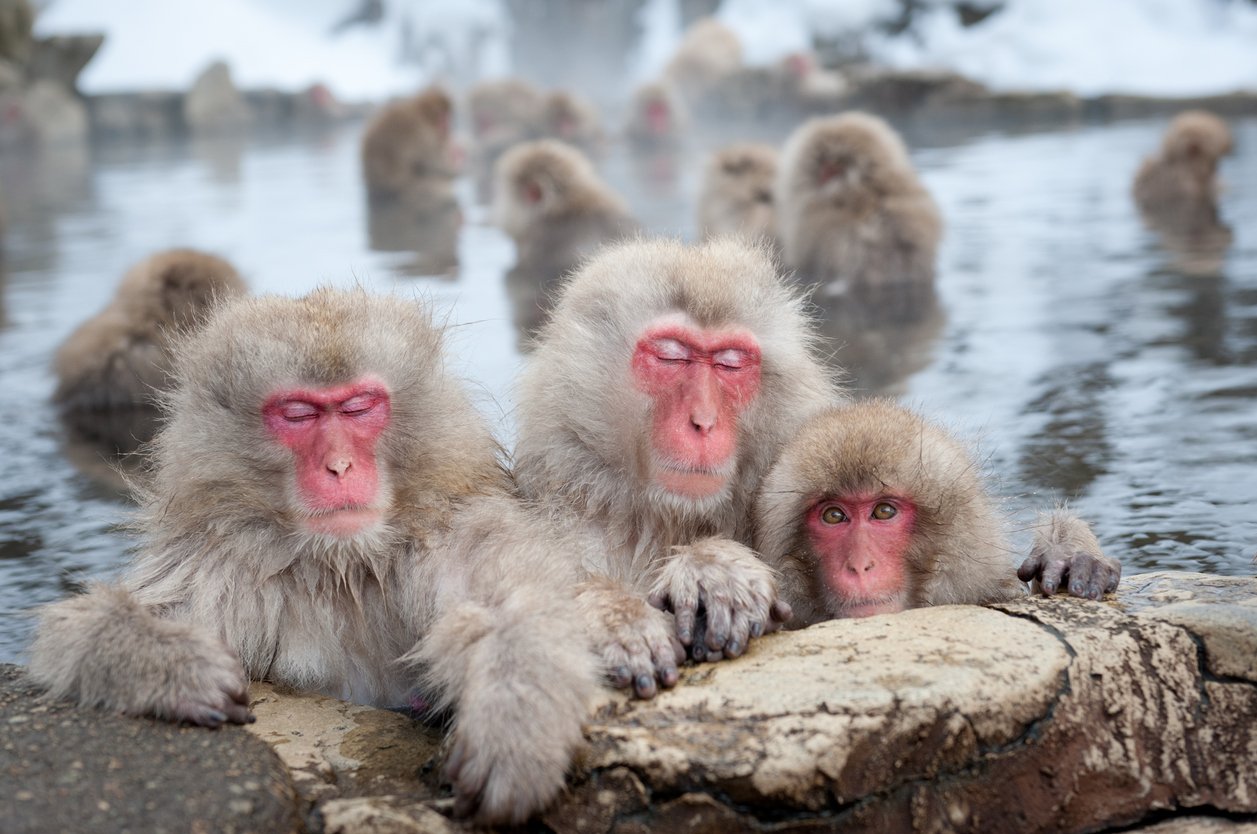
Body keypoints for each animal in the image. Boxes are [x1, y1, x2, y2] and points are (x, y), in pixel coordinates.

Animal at [29, 288, 599, 826]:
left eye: (359, 406)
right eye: (298, 414)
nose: (339, 466)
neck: (342, 565)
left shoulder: (449, 535)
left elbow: (516, 603)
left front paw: (514, 728)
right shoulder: (218, 564)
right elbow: (76, 631)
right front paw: (176, 666)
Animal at [514, 237, 843, 697]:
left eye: (730, 363)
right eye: (671, 357)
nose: (703, 421)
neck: (665, 520)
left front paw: (715, 568)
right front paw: (616, 616)